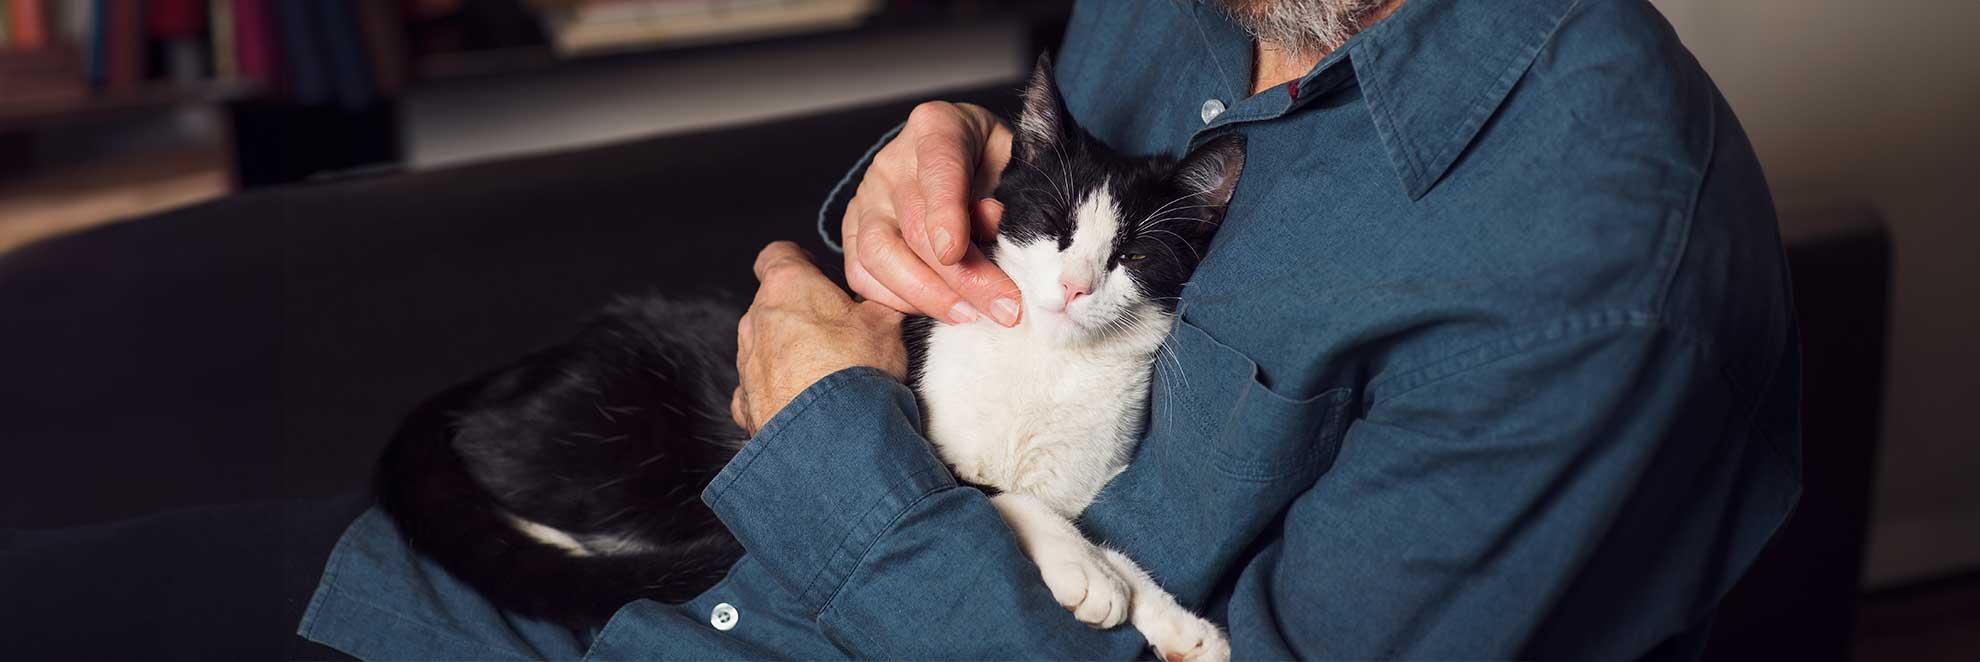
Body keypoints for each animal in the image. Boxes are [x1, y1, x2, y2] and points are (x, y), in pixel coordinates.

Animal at [378, 58, 1243, 662]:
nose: (1072, 287)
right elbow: (973, 494)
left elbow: (1099, 532)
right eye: (1056, 225)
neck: (1046, 368)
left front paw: (1177, 621)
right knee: (496, 464)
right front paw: (1087, 573)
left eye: (1131, 255)